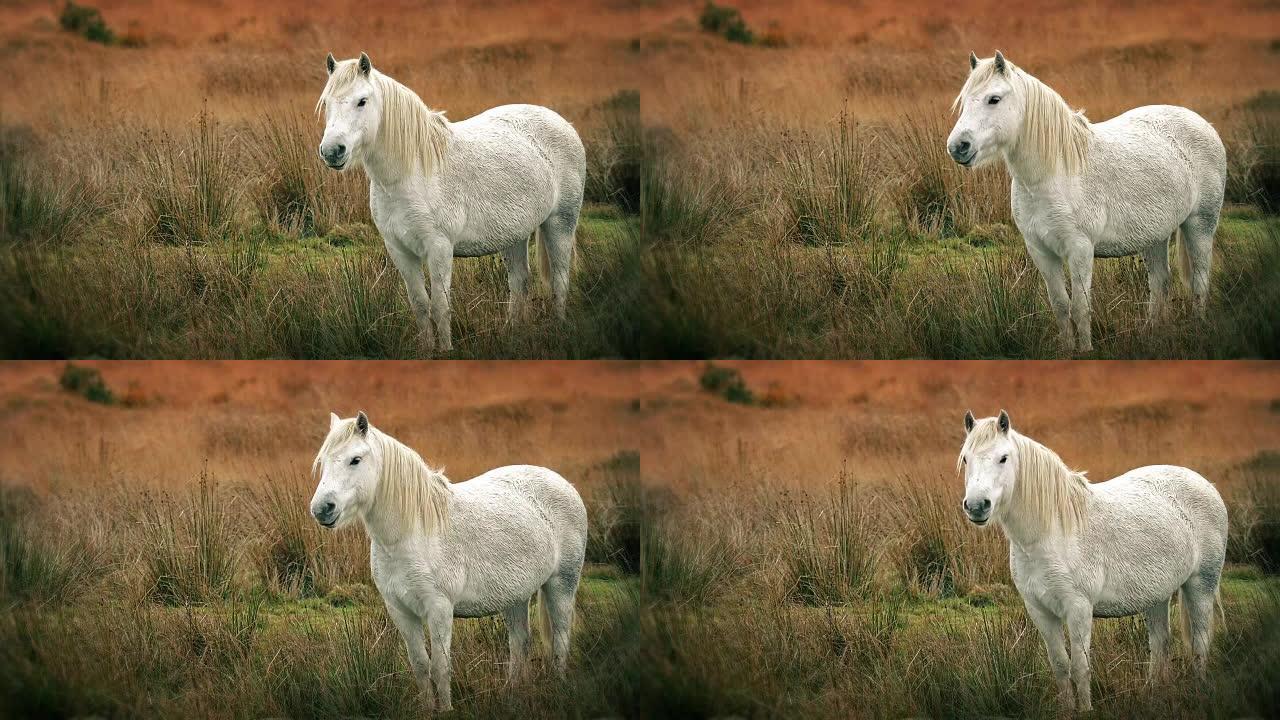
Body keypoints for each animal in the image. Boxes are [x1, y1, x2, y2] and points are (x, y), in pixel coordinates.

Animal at [309, 409, 588, 707]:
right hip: (516, 596)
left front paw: (445, 710)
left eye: (355, 460)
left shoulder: (439, 608)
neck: (411, 533)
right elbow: (420, 665)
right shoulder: (400, 611)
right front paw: (428, 709)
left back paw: (558, 687)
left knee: (560, 639)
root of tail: (564, 484)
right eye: (323, 462)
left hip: (562, 584)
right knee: (520, 643)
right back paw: (513, 695)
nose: (322, 509)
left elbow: (440, 667)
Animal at [317, 52, 586, 351]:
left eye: (362, 101)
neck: (412, 172)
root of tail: (563, 124)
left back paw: (559, 330)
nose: (332, 151)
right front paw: (426, 351)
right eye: (326, 102)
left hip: (560, 223)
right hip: (515, 234)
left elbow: (440, 307)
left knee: (560, 280)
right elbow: (420, 306)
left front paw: (445, 351)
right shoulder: (400, 250)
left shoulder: (439, 248)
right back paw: (513, 334)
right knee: (520, 282)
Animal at [947, 51, 1223, 351]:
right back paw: (1152, 334)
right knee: (1160, 282)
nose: (957, 147)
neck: (1054, 173)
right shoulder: (1041, 252)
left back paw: (1198, 328)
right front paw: (1068, 351)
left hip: (1200, 224)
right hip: (1155, 236)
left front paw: (1086, 351)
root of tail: (1203, 124)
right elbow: (1060, 306)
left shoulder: (1079, 249)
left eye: (994, 99)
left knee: (1200, 280)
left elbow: (1080, 307)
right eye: (965, 100)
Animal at [962, 409, 1228, 707]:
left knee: (1201, 641)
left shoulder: (1078, 609)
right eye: (966, 458)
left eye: (1003, 458)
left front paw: (1087, 709)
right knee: (1160, 643)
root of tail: (1206, 485)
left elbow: (1080, 667)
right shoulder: (1039, 611)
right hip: (1156, 595)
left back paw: (1200, 690)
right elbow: (1060, 666)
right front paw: (1068, 710)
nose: (976, 506)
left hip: (1201, 584)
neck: (1050, 532)